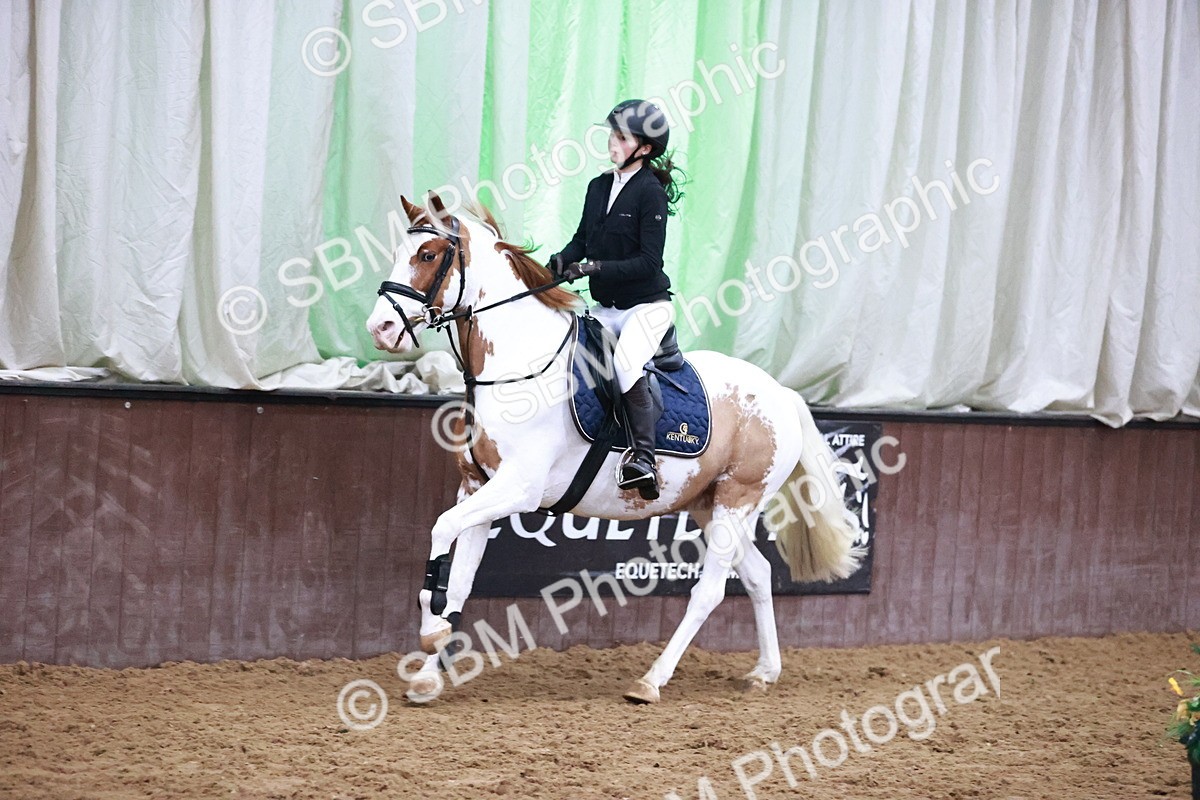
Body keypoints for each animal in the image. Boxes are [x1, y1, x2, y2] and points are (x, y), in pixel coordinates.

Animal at [365, 192, 865, 704]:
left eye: (428, 256)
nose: (380, 327)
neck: (517, 366)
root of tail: (782, 392)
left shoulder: (517, 489)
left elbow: (442, 532)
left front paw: (431, 633)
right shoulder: (476, 487)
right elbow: (459, 582)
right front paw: (429, 674)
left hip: (738, 498)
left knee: (709, 592)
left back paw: (651, 681)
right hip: (710, 504)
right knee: (759, 574)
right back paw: (765, 671)